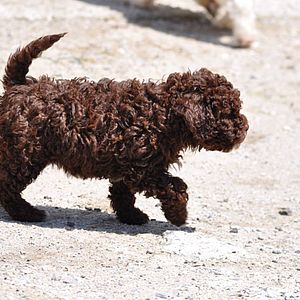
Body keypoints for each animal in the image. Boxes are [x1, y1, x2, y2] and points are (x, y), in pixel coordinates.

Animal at [0, 33, 248, 225]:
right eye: (229, 112)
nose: (245, 130)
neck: (165, 112)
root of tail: (20, 85)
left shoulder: (127, 165)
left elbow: (122, 193)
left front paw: (131, 216)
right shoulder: (144, 169)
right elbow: (175, 186)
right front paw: (178, 216)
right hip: (25, 152)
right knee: (7, 185)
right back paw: (27, 213)